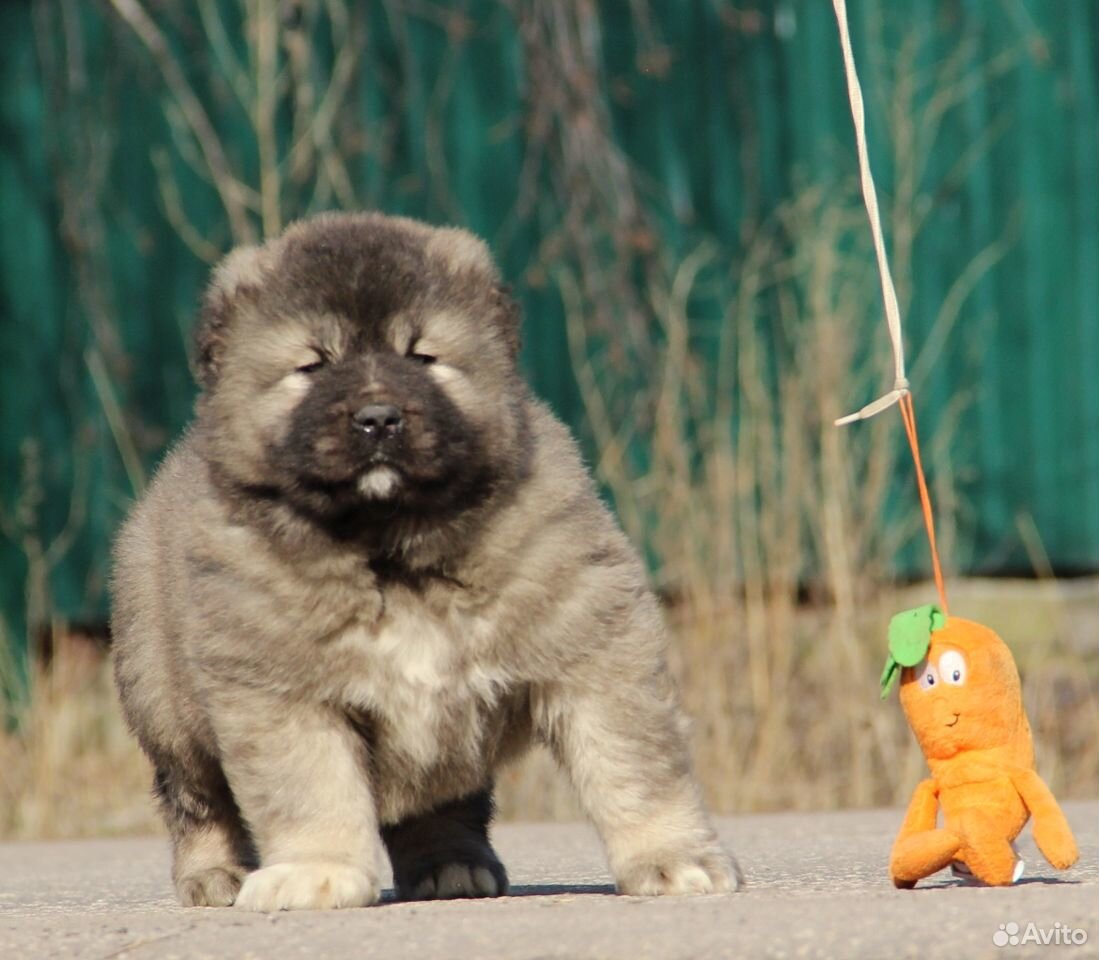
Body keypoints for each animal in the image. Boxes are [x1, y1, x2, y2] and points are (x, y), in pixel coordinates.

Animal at [111, 213, 738, 909]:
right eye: (313, 365)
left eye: (422, 357)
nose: (378, 417)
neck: (394, 549)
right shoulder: (280, 692)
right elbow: (310, 788)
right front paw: (316, 869)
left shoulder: (593, 645)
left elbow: (634, 763)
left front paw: (673, 858)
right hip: (165, 704)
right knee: (196, 801)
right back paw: (214, 875)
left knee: (441, 798)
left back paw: (451, 865)